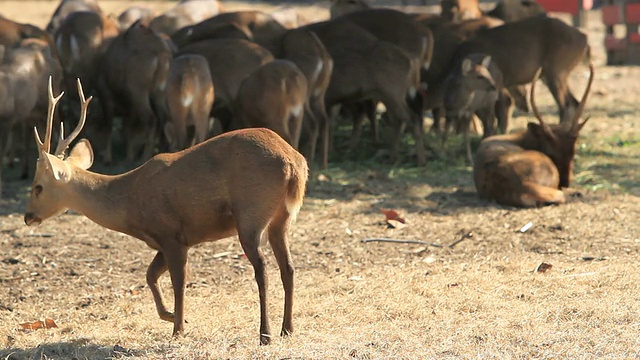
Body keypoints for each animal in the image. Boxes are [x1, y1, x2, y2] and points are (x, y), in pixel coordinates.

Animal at [22, 76, 308, 346]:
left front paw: (178, 328)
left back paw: (265, 334)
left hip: (251, 213)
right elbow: (150, 275)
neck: (130, 203)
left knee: (262, 269)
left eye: (38, 187)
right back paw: (287, 329)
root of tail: (293, 163)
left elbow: (178, 283)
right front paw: (171, 316)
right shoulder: (165, 240)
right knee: (289, 267)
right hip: (281, 219)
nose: (27, 216)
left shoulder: (172, 235)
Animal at [472, 63, 592, 207]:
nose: (565, 182)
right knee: (560, 196)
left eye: (573, 154)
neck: (524, 138)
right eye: (551, 154)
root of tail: (522, 184)